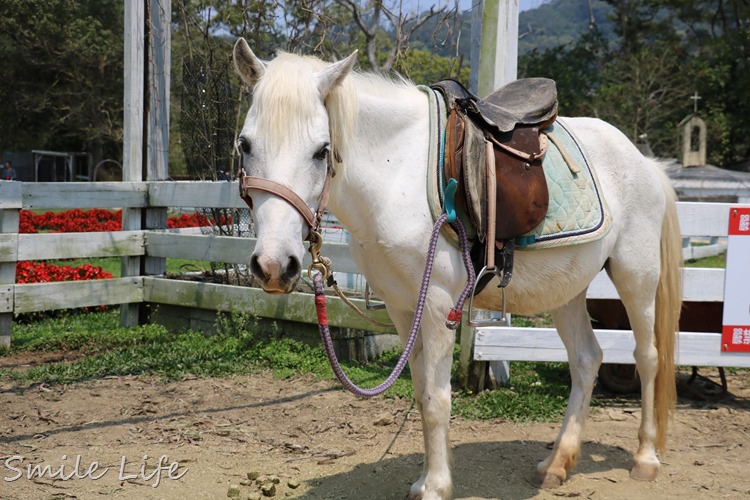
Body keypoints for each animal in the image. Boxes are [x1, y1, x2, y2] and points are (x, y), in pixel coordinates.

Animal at [232, 40, 684, 500]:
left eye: (322, 150)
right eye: (245, 145)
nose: (273, 266)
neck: (397, 172)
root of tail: (645, 162)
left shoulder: (436, 306)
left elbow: (437, 400)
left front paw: (435, 486)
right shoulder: (402, 307)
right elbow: (420, 391)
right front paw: (428, 477)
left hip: (636, 275)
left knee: (647, 356)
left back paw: (645, 458)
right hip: (567, 288)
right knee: (586, 359)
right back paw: (557, 463)